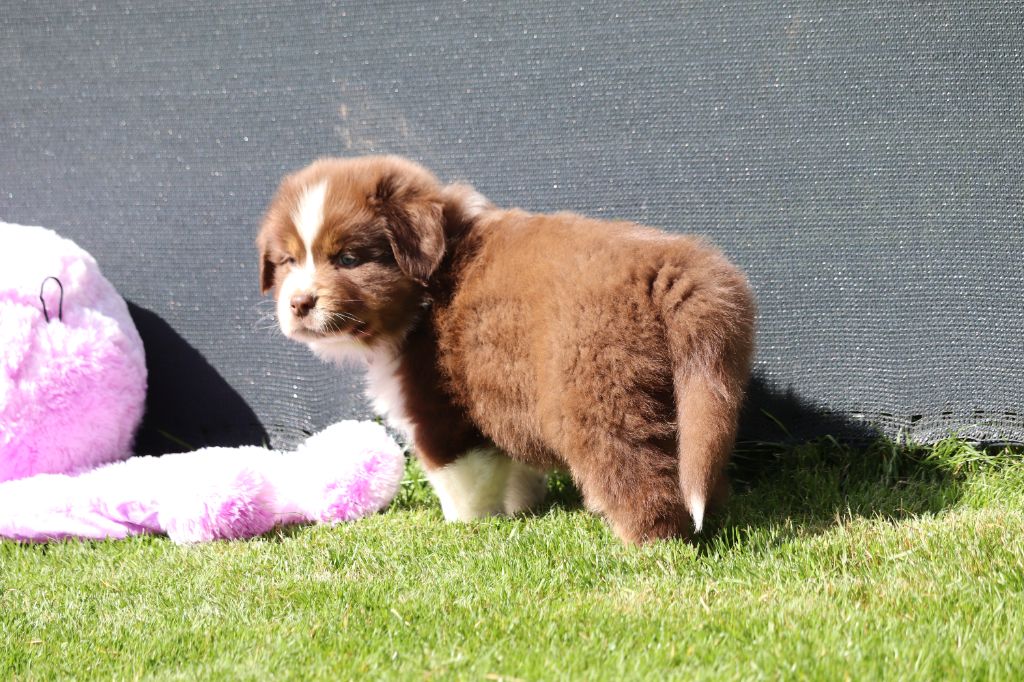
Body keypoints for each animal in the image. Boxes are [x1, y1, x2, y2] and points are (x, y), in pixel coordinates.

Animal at [257, 156, 755, 543]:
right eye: (287, 261)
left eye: (348, 258)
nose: (299, 303)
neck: (429, 286)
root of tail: (673, 265)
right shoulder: (502, 395)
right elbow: (514, 464)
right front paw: (525, 507)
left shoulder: (441, 407)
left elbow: (459, 478)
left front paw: (466, 525)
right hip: (692, 388)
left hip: (599, 396)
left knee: (636, 471)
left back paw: (647, 542)